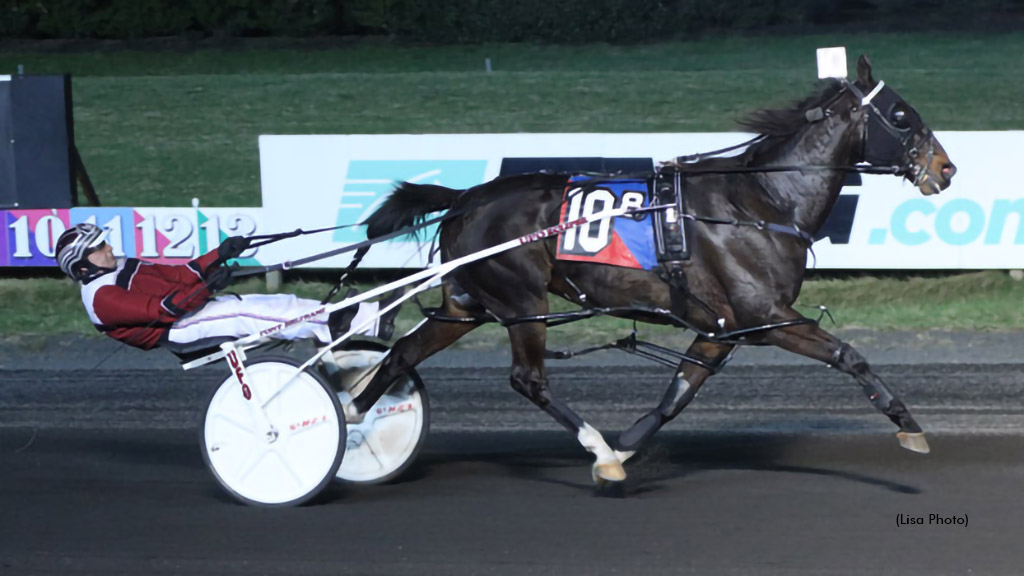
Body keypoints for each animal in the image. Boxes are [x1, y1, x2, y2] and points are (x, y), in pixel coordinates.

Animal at [350, 56, 950, 481]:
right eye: (901, 115)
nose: (946, 168)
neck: (761, 201)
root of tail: (465, 198)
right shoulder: (768, 315)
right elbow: (849, 356)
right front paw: (909, 425)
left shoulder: (722, 328)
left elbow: (675, 397)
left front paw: (627, 447)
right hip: (522, 303)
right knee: (528, 379)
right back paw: (591, 443)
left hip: (466, 305)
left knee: (400, 355)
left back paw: (353, 420)